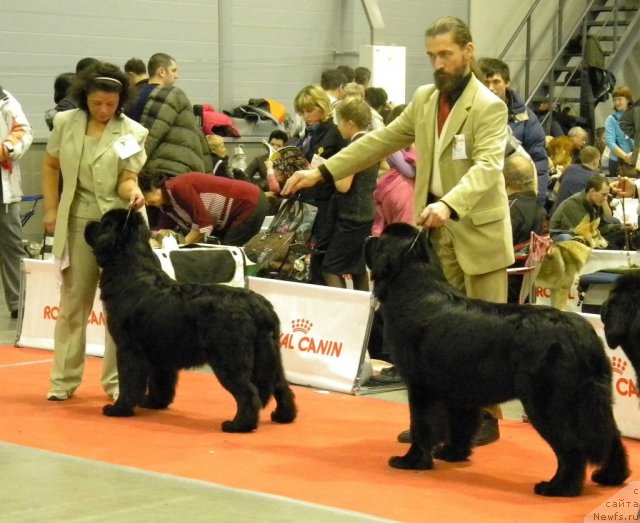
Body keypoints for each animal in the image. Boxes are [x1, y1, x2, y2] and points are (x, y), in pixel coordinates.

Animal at [82, 209, 298, 434]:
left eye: (105, 224)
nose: (88, 224)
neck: (132, 271)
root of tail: (259, 306)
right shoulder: (160, 353)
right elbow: (161, 381)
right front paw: (154, 403)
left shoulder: (129, 348)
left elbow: (129, 381)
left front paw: (119, 408)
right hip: (269, 356)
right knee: (282, 386)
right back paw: (283, 416)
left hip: (229, 358)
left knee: (248, 392)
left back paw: (238, 425)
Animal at [362, 223, 636, 498]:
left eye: (379, 240)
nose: (368, 237)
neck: (414, 289)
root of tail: (580, 333)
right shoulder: (458, 389)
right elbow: (460, 425)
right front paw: (452, 454)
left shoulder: (421, 386)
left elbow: (422, 425)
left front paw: (412, 461)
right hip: (593, 400)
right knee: (610, 436)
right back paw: (610, 477)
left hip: (548, 402)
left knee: (572, 447)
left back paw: (559, 487)